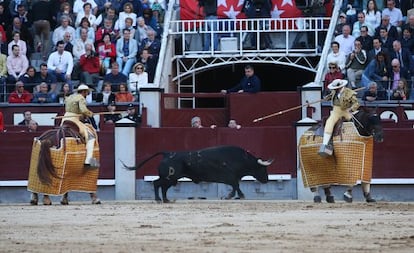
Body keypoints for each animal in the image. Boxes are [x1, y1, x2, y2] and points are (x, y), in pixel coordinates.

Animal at [124, 145, 274, 203]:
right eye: (263, 169)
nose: (266, 180)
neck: (242, 159)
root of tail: (167, 153)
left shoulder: (231, 178)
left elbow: (235, 186)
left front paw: (229, 196)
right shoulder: (231, 177)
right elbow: (236, 185)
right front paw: (237, 196)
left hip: (171, 178)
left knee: (162, 186)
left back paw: (165, 200)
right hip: (169, 177)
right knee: (157, 184)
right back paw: (158, 199)